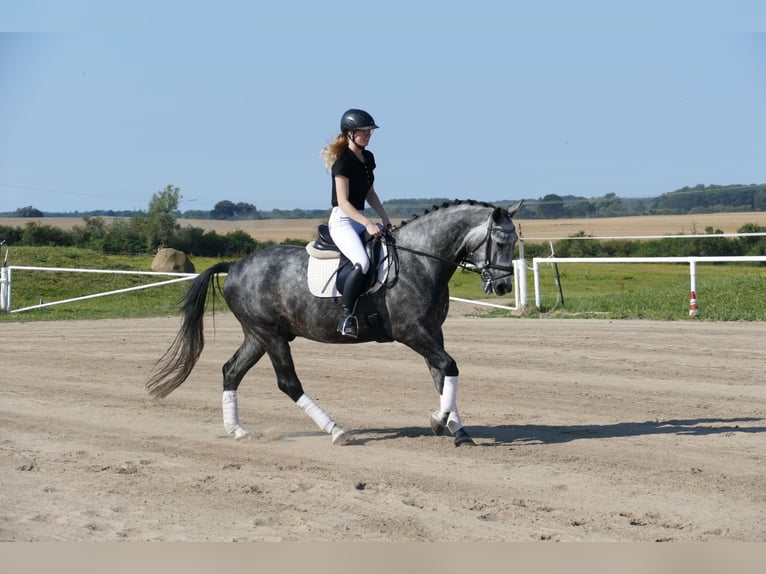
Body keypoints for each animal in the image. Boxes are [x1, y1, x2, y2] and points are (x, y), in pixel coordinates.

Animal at [146, 200, 520, 448]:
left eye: (515, 242)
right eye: (501, 242)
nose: (503, 287)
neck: (421, 260)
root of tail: (236, 266)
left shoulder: (433, 331)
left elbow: (442, 374)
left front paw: (458, 430)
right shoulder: (410, 332)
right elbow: (448, 366)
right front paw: (439, 422)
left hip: (259, 335)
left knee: (231, 371)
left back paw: (238, 431)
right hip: (270, 335)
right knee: (288, 383)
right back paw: (336, 431)